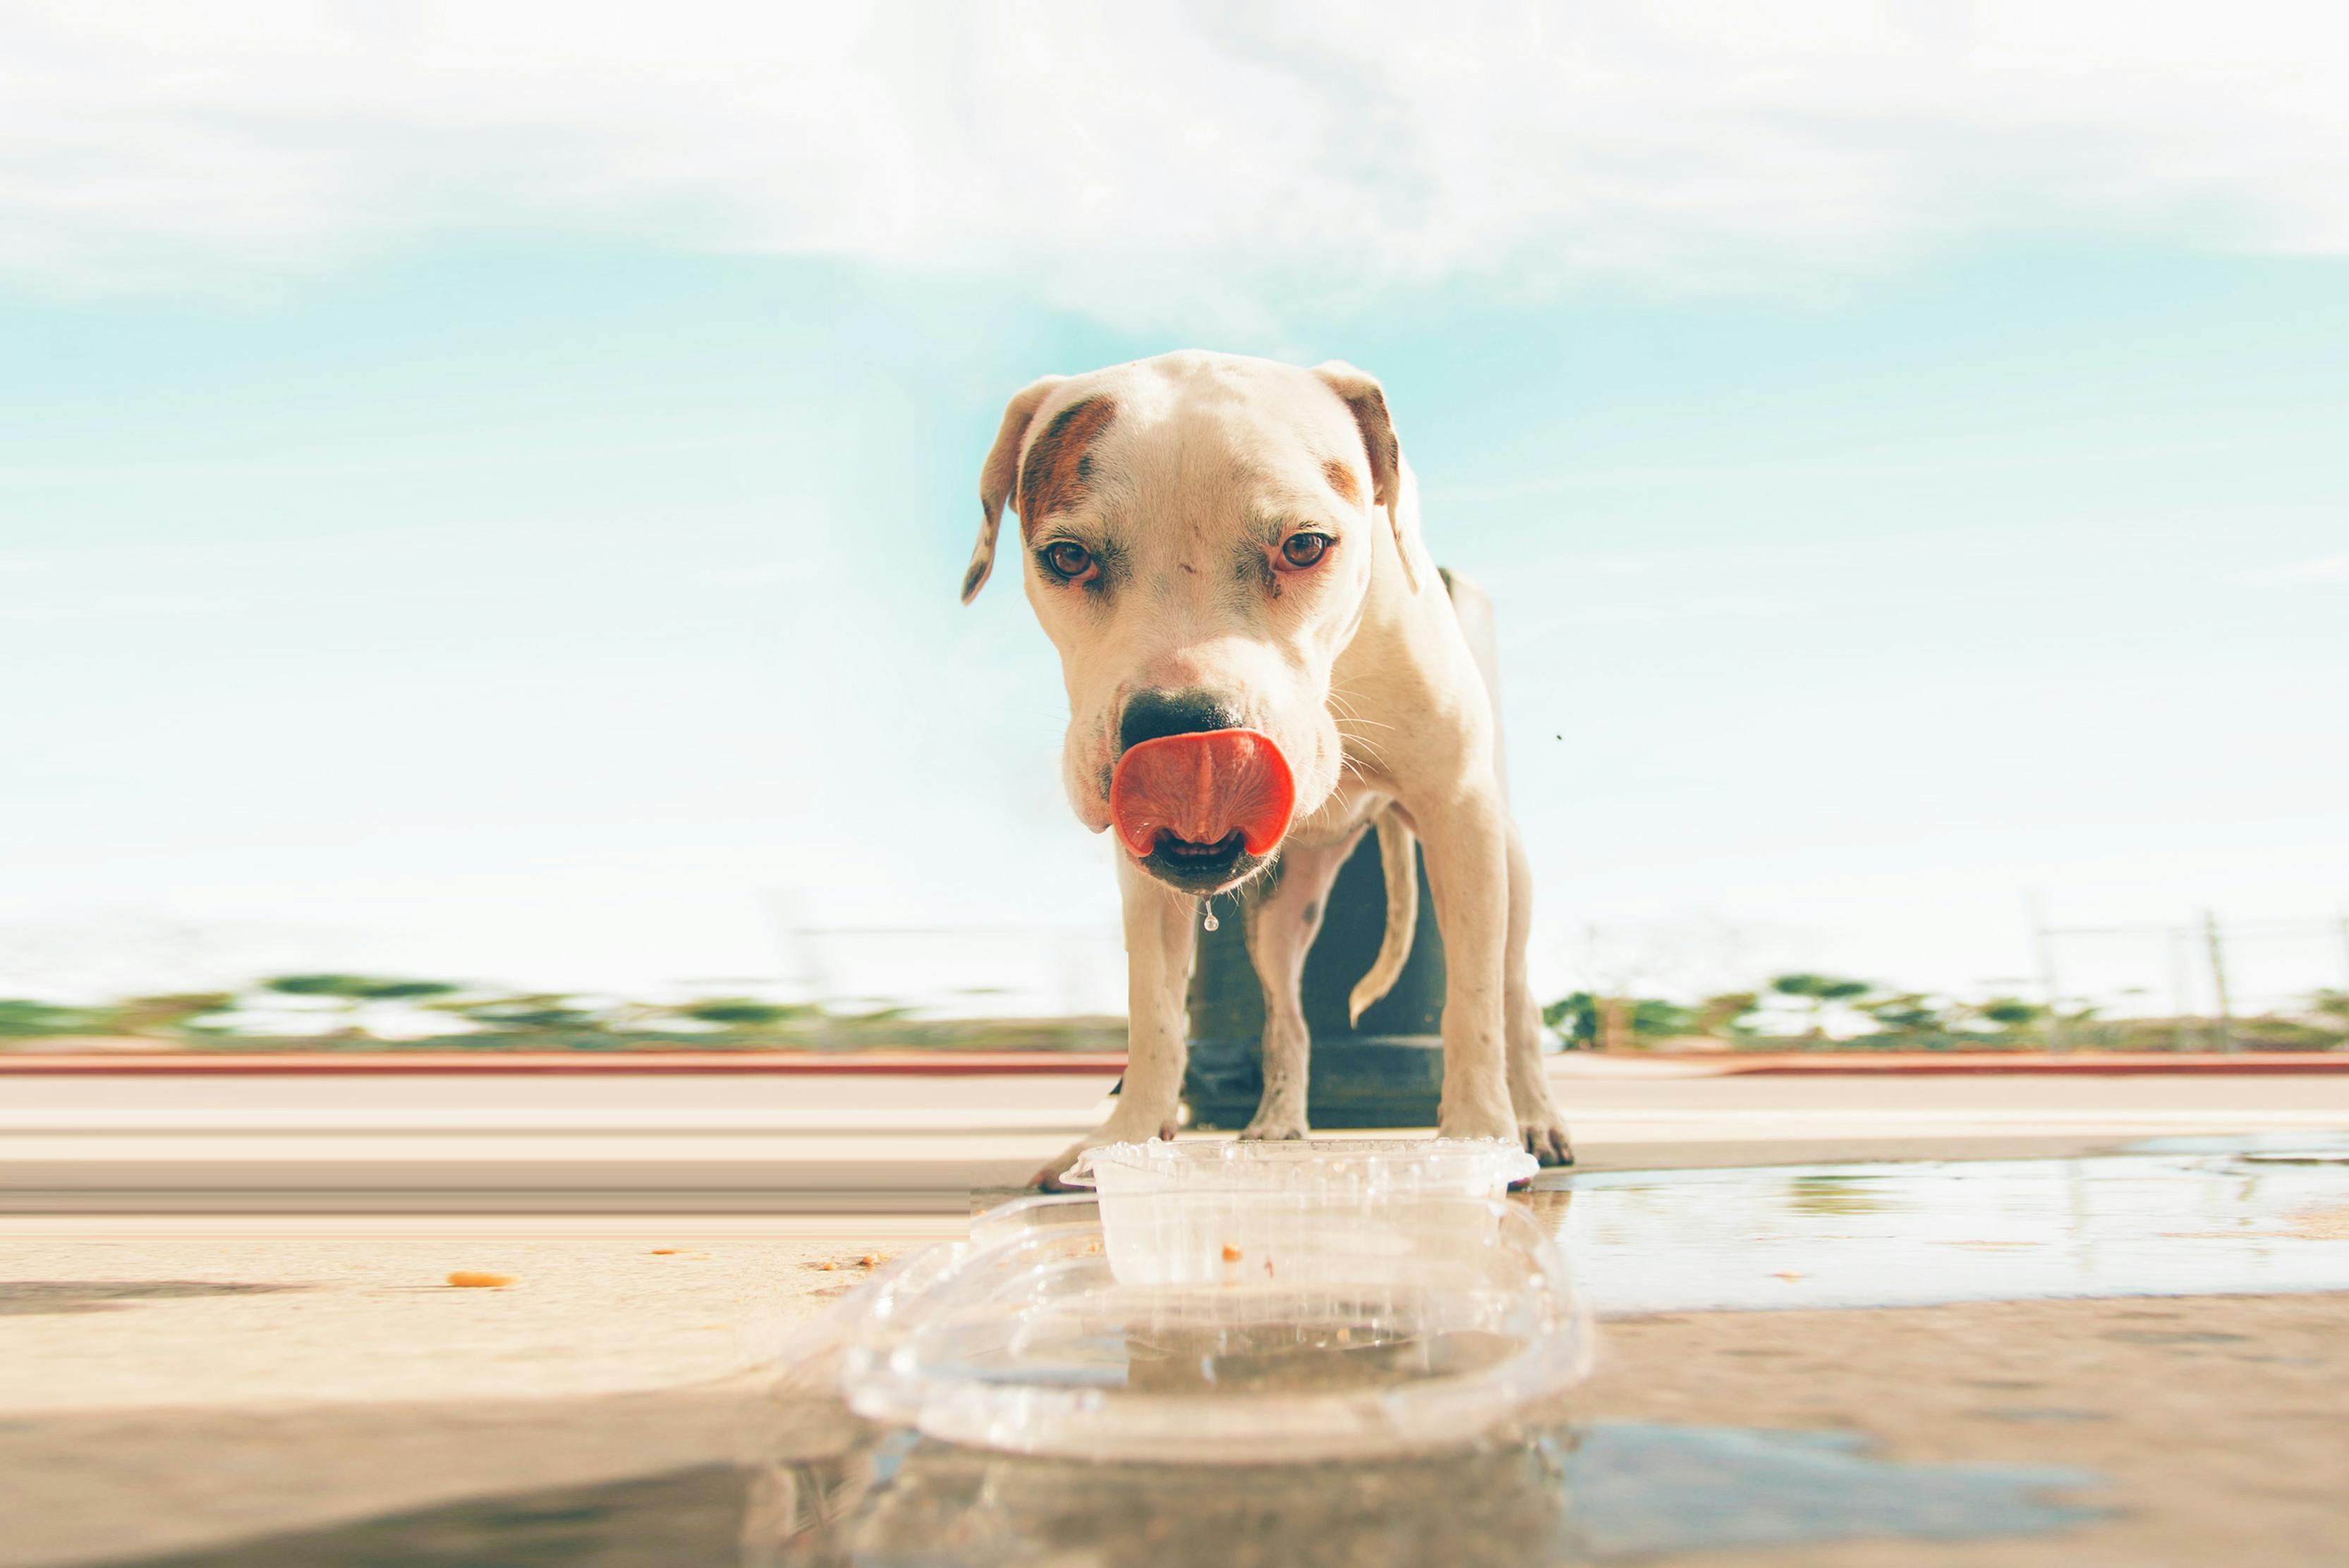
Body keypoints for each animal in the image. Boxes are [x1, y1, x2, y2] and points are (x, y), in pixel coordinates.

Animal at [953, 354, 1578, 1183]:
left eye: (1306, 546)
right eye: (1067, 557)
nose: (1184, 729)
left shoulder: (1459, 814)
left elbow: (1472, 1006)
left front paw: (1479, 1137)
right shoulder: (1147, 884)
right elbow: (1155, 1015)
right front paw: (1125, 1139)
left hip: (1505, 864)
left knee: (1514, 995)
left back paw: (1536, 1118)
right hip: (1280, 915)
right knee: (1287, 1017)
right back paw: (1277, 1122)